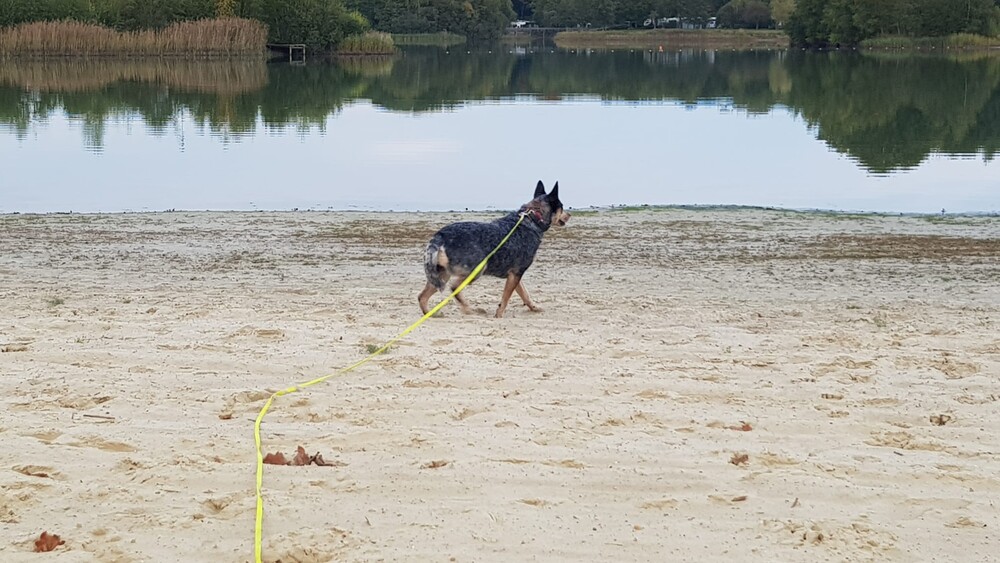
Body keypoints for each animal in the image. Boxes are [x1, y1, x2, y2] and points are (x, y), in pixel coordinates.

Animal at [418, 180, 570, 318]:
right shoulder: (516, 274)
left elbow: (525, 294)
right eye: (562, 207)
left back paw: (432, 314)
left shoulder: (515, 274)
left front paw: (534, 308)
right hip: (477, 269)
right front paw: (499, 315)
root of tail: (440, 236)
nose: (569, 215)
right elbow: (505, 299)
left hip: (441, 275)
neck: (533, 218)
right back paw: (469, 310)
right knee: (454, 288)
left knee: (422, 296)